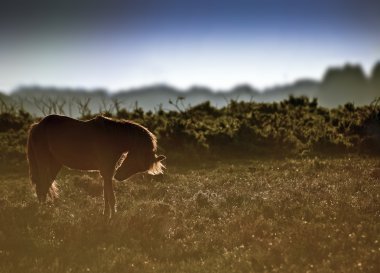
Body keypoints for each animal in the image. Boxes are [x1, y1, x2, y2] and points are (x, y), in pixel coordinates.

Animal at [27, 113, 167, 216]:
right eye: (136, 160)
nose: (119, 177)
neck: (112, 136)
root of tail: (37, 126)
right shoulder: (107, 171)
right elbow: (111, 197)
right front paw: (112, 218)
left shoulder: (107, 172)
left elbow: (107, 195)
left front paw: (107, 217)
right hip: (44, 163)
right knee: (42, 187)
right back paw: (44, 212)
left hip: (55, 164)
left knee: (45, 186)